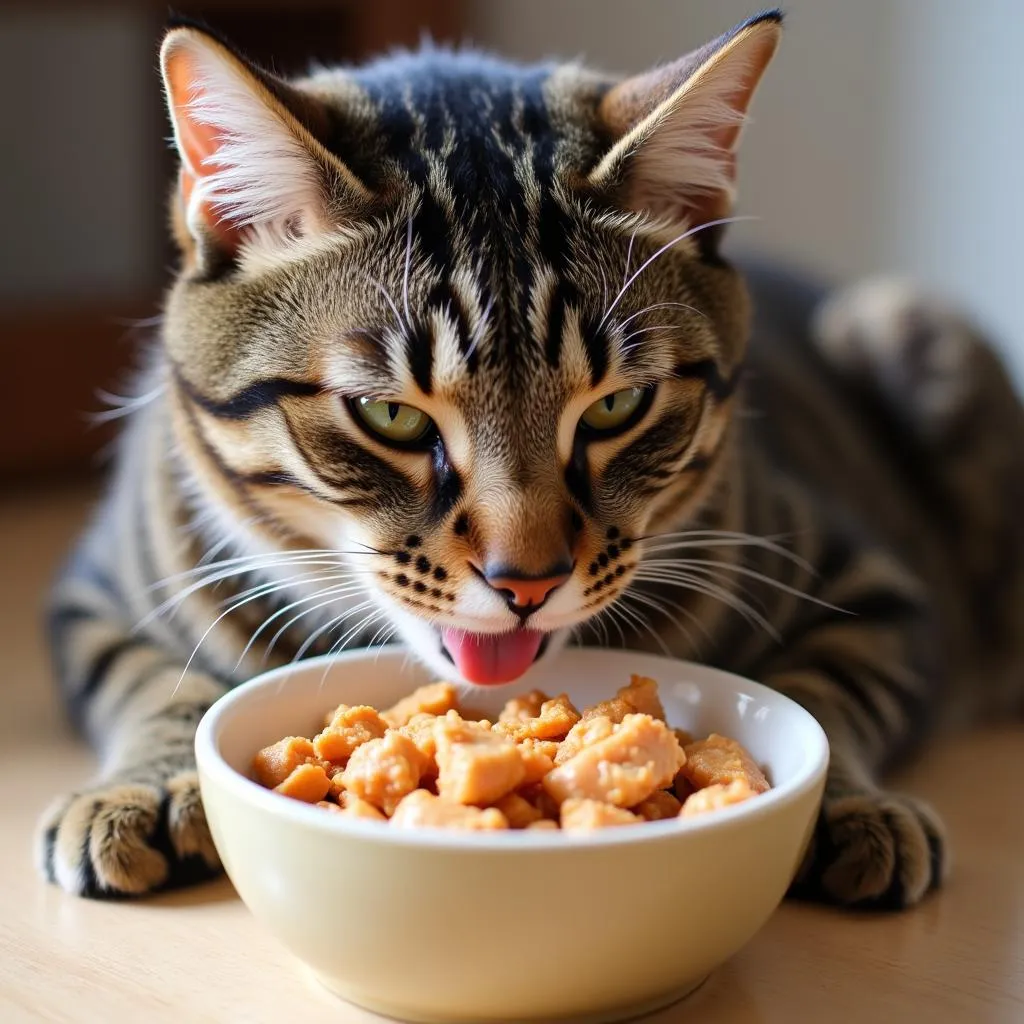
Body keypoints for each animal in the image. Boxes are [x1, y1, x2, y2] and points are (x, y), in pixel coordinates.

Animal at [37, 8, 1024, 905]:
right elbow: (156, 683)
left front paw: (852, 804)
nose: (528, 583)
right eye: (391, 416)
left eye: (619, 405)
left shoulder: (875, 590)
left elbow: (825, 687)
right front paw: (141, 786)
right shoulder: (94, 599)